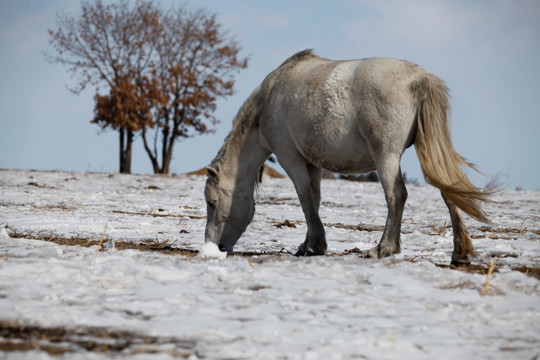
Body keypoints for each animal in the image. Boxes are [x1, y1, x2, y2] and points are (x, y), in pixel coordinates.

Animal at [204, 50, 490, 264]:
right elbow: (315, 200)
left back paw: (383, 248)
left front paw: (314, 246)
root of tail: (420, 77)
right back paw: (459, 253)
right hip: (430, 150)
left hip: (385, 156)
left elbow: (305, 199)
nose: (213, 246)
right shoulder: (312, 164)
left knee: (396, 195)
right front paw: (310, 244)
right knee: (449, 191)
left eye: (212, 203)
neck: (267, 103)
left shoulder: (290, 158)